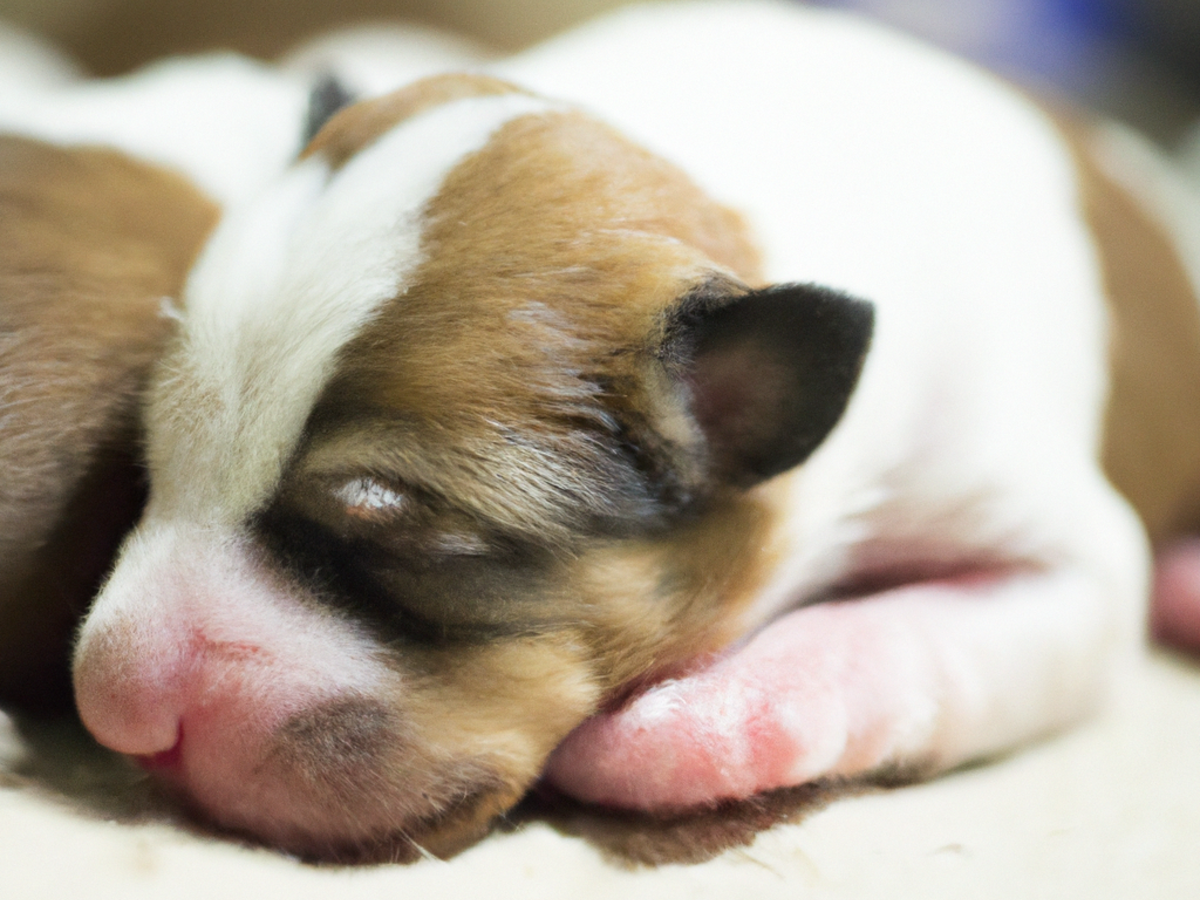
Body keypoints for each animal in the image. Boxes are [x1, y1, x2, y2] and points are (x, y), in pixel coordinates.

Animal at [63, 1, 1200, 868]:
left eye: (399, 544)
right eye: (152, 467)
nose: (114, 716)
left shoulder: (1062, 561)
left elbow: (902, 637)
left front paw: (688, 729)